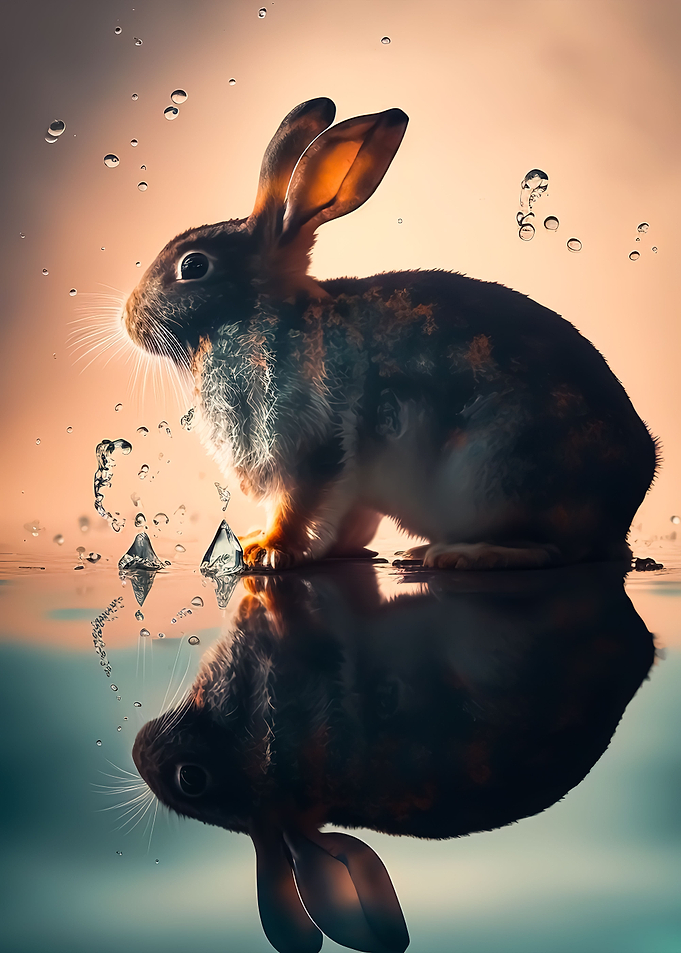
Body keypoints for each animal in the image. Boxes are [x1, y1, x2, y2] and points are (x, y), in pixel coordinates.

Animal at [122, 97, 658, 570]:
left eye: (193, 266)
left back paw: (461, 555)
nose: (128, 320)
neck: (262, 315)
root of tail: (618, 513)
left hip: (490, 475)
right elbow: (347, 521)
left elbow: (296, 507)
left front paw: (265, 549)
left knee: (553, 551)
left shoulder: (310, 446)